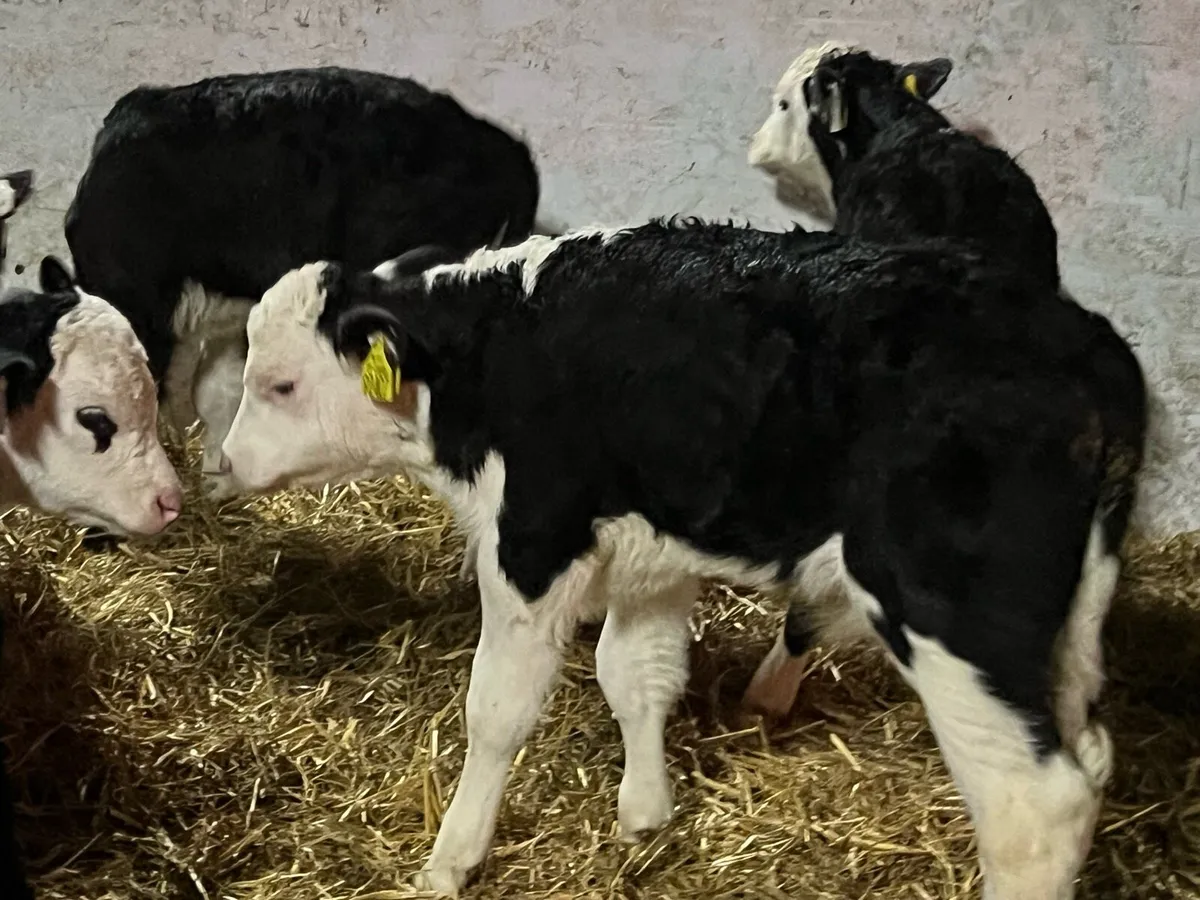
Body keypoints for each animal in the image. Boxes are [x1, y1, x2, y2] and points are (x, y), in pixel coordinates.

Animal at [216, 217, 1146, 900]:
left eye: (281, 384)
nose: (223, 463)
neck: (496, 347)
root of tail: (1085, 345)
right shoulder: (652, 552)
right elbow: (638, 675)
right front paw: (644, 816)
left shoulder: (533, 541)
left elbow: (497, 710)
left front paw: (451, 860)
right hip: (1073, 616)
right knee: (1091, 754)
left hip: (947, 611)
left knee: (1035, 806)